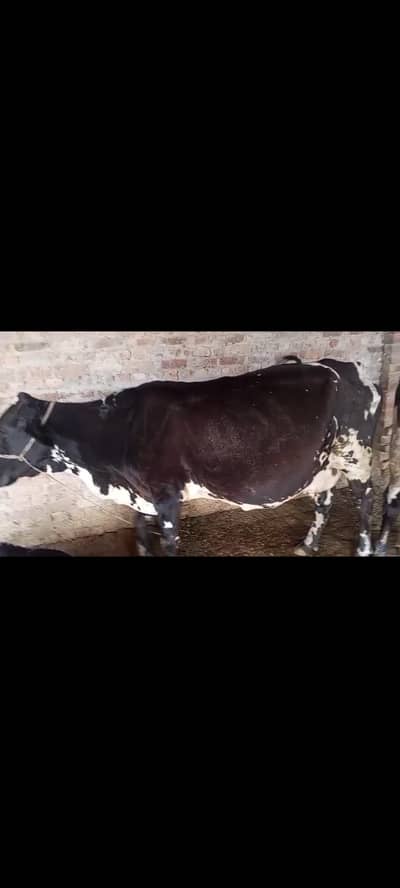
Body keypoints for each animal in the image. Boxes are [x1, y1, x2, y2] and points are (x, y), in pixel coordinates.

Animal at [0, 357, 382, 557]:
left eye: (5, 431)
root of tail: (348, 365)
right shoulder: (140, 496)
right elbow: (141, 536)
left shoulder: (167, 497)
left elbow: (169, 544)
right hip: (325, 462)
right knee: (325, 501)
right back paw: (307, 545)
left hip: (356, 453)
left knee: (364, 499)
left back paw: (366, 548)